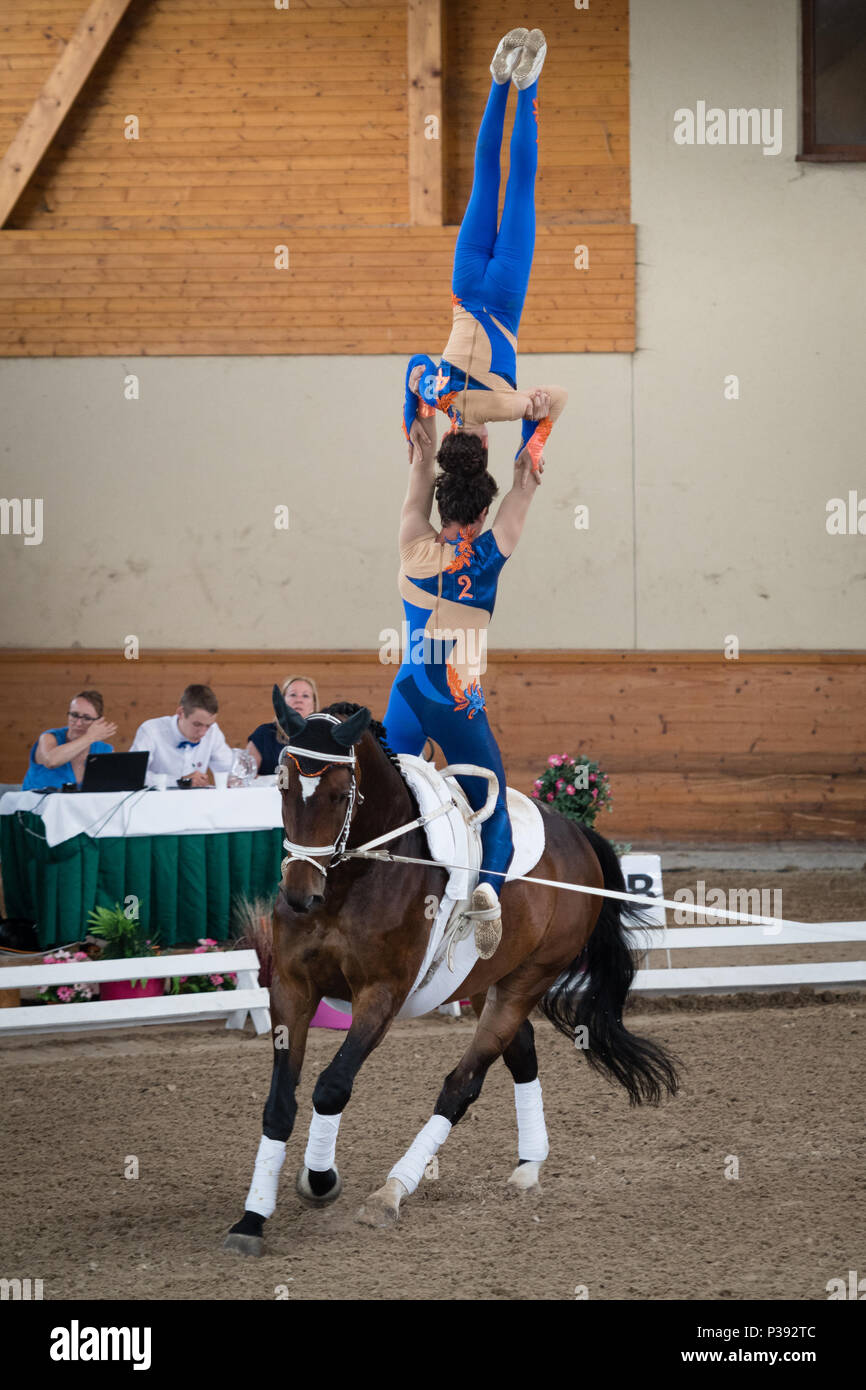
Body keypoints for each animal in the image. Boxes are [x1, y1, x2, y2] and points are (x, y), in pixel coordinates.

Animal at [222, 689, 678, 1256]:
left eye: (338, 794)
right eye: (282, 787)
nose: (300, 896)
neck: (353, 878)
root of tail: (576, 832)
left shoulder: (382, 994)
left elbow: (332, 1086)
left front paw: (320, 1180)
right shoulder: (290, 987)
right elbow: (279, 1103)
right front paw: (251, 1220)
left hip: (528, 979)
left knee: (462, 1085)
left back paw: (391, 1193)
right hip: (486, 982)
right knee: (521, 1054)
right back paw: (528, 1167)